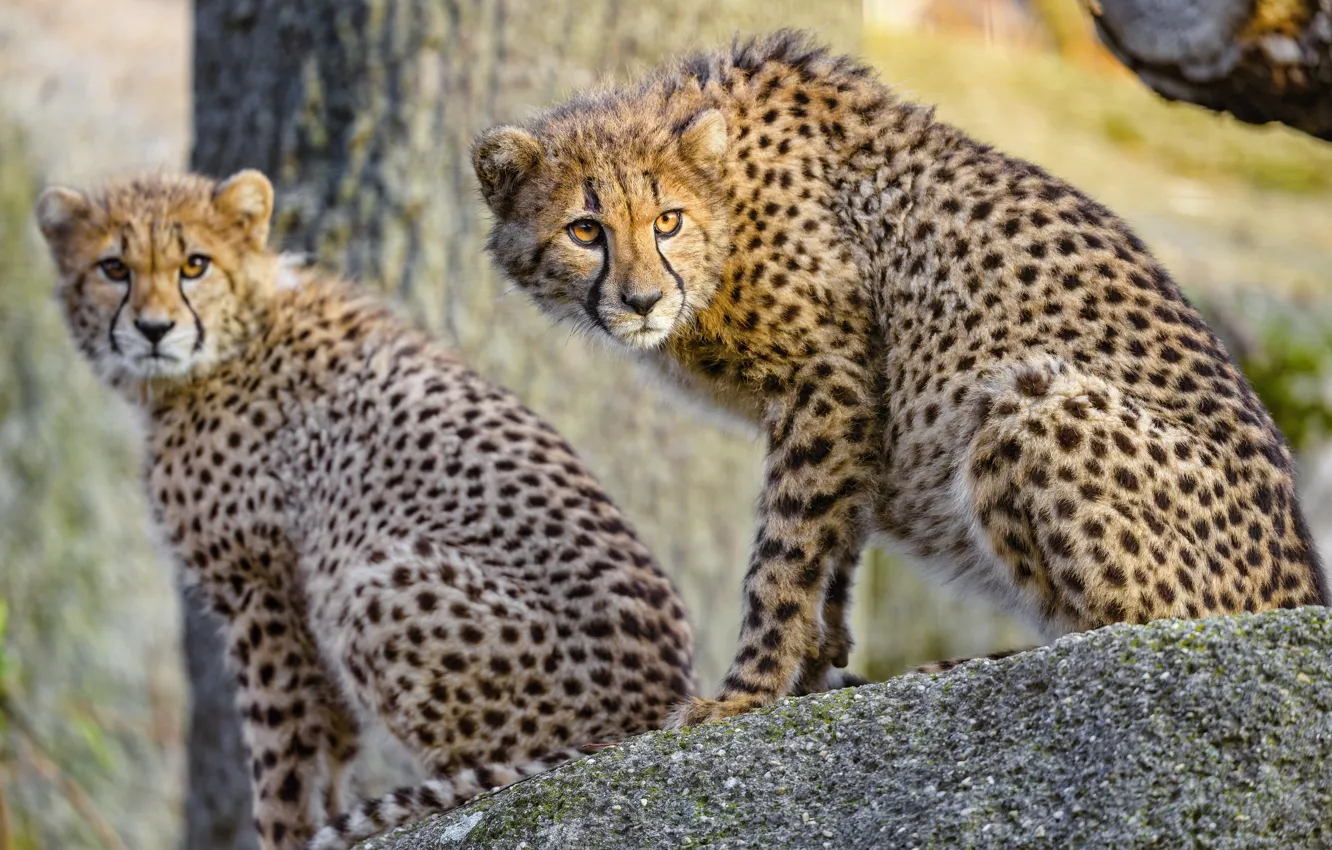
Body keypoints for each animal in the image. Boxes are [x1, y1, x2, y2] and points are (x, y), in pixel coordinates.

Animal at [35, 169, 694, 849]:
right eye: (113, 268)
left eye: (195, 264)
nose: (154, 328)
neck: (236, 335)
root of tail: (658, 710)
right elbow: (329, 745)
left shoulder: (263, 591)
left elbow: (281, 756)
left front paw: (285, 834)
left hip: (368, 577)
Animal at [471, 30, 1327, 728]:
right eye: (586, 230)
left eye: (667, 221)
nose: (643, 300)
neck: (729, 202)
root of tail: (1297, 590)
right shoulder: (852, 410)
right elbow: (837, 536)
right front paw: (815, 662)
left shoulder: (827, 377)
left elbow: (783, 553)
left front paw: (747, 692)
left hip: (1029, 400)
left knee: (1131, 631)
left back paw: (964, 668)